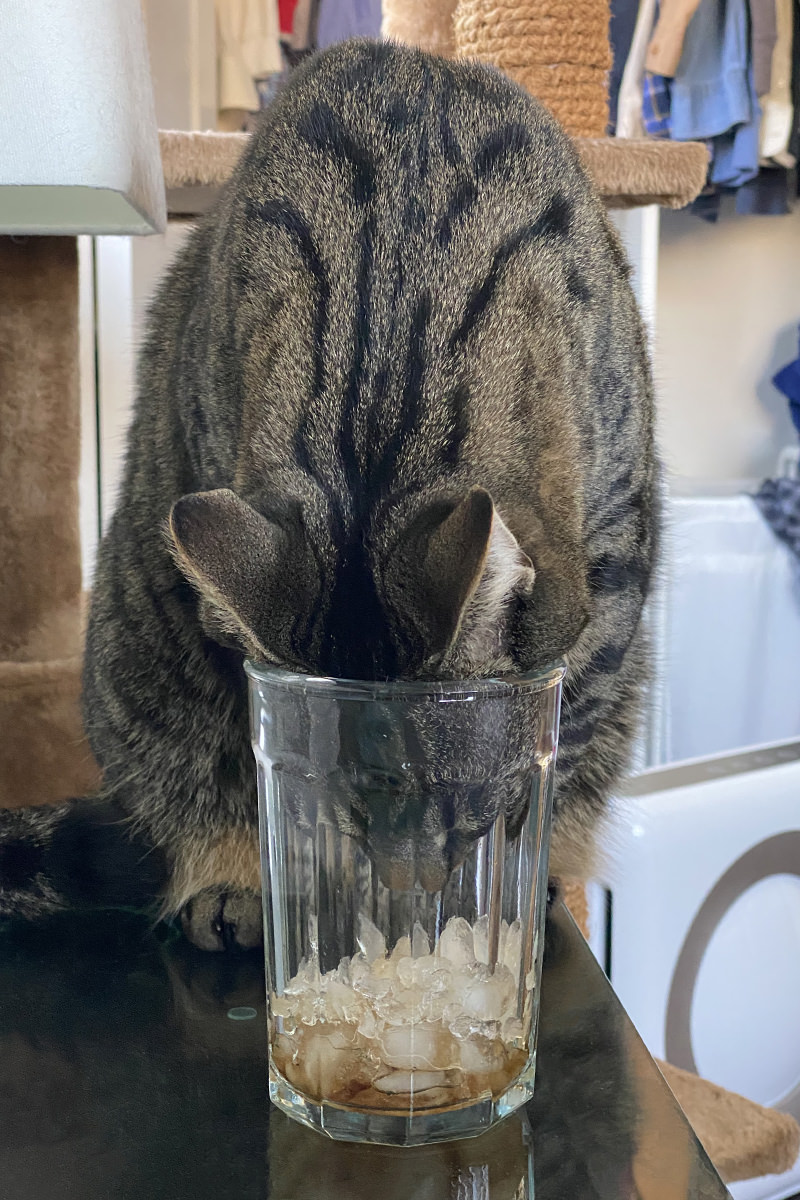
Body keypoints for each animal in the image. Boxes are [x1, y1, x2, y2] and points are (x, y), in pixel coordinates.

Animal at [0, 39, 662, 955]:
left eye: (464, 805)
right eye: (350, 803)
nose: (413, 882)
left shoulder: (617, 554)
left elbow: (574, 726)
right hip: (139, 667)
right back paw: (233, 887)